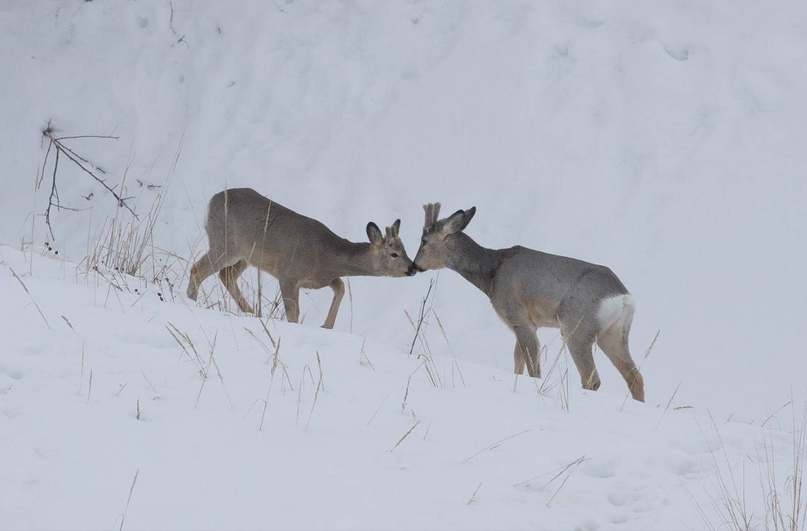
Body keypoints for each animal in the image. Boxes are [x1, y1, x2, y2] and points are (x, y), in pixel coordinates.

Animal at [187, 187, 420, 328]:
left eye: (406, 250)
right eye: (394, 254)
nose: (413, 268)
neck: (325, 256)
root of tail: (212, 200)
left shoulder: (320, 279)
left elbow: (341, 286)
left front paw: (326, 325)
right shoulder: (288, 274)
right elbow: (293, 313)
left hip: (245, 255)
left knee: (226, 276)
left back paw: (251, 312)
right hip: (225, 244)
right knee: (197, 269)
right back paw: (191, 302)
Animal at [414, 204, 648, 404]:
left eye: (424, 240)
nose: (415, 266)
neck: (492, 273)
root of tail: (623, 296)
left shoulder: (519, 318)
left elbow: (533, 369)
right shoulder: (522, 325)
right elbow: (518, 363)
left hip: (577, 330)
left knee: (592, 379)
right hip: (614, 334)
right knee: (635, 377)